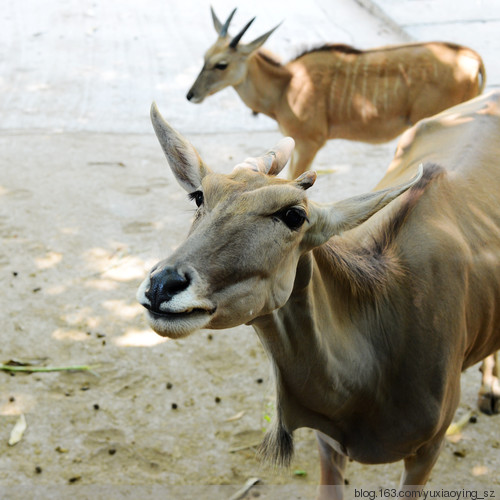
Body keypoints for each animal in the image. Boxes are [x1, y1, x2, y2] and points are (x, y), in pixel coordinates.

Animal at [186, 8, 486, 180]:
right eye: (204, 57)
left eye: (221, 64)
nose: (190, 95)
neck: (286, 85)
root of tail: (473, 58)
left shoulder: (310, 143)